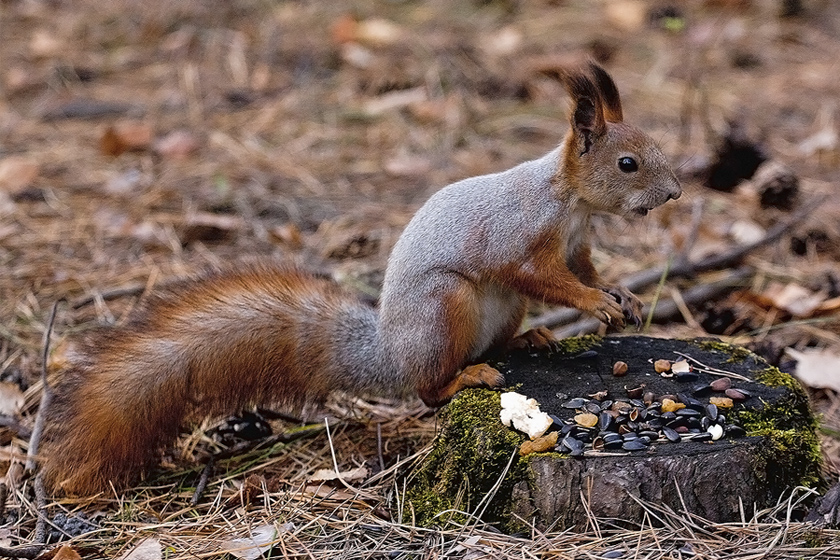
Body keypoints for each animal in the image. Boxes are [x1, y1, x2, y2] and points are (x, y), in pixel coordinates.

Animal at [41, 62, 684, 494]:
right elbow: (543, 276)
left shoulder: (576, 242)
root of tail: (390, 352)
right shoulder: (521, 236)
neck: (569, 201)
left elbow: (584, 268)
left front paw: (620, 293)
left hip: (497, 310)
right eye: (628, 163)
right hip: (444, 306)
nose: (676, 192)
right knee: (428, 389)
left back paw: (527, 340)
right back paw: (467, 376)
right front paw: (596, 303)